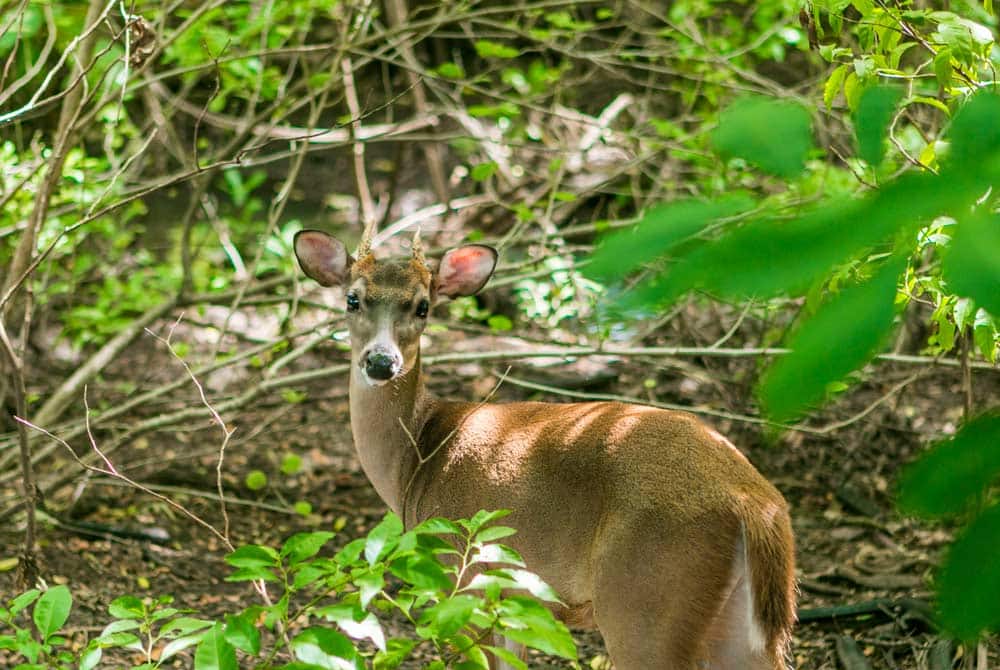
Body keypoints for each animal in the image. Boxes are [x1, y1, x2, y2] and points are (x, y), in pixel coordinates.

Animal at [292, 227, 796, 670]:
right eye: (353, 299)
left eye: (423, 306)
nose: (381, 361)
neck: (417, 460)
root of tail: (754, 503)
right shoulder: (515, 601)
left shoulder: (463, 578)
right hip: (743, 622)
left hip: (644, 596)